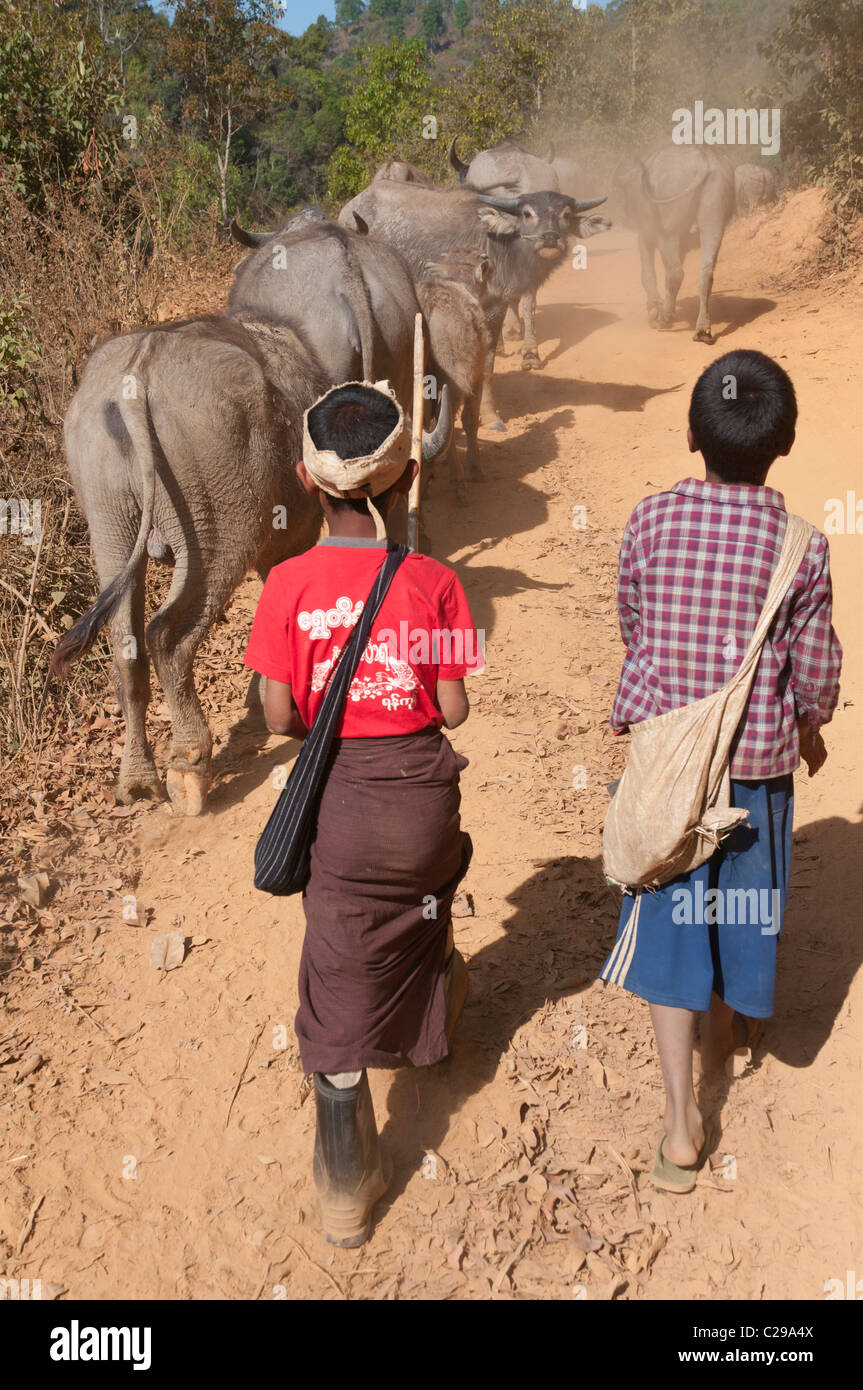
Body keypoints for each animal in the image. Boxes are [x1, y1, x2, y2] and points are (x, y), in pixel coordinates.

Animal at [55, 308, 450, 811]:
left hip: (107, 514)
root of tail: (136, 375)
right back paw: (188, 766)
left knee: (125, 643)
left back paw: (137, 780)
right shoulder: (292, 530)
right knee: (168, 635)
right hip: (218, 518)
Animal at [611, 145, 733, 343]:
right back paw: (702, 329)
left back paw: (663, 317)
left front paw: (654, 309)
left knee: (676, 273)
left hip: (668, 232)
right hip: (713, 223)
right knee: (705, 273)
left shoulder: (645, 235)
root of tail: (703, 160)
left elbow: (648, 274)